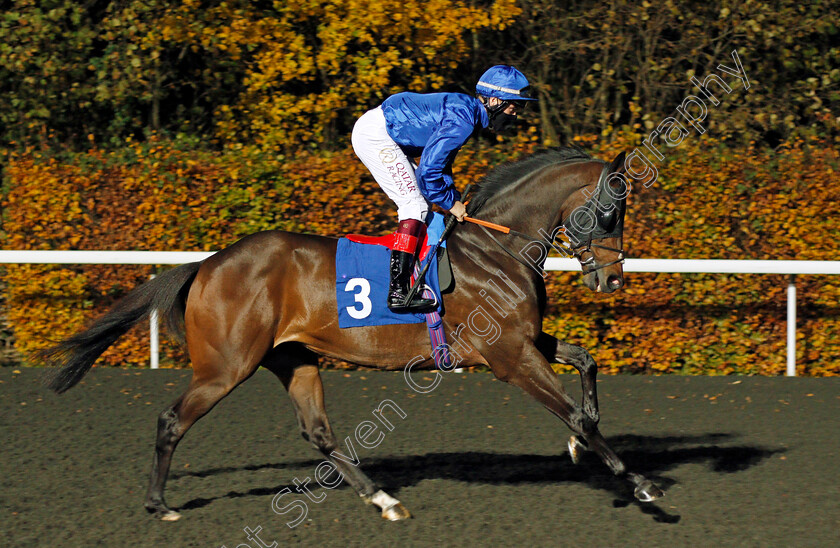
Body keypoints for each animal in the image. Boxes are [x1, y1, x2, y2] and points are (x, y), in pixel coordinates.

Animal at [42, 146, 664, 524]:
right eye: (613, 210)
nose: (613, 278)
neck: (498, 248)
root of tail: (209, 263)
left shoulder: (520, 341)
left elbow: (587, 362)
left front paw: (580, 447)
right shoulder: (508, 356)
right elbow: (577, 412)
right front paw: (639, 484)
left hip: (293, 358)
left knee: (317, 431)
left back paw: (383, 498)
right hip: (226, 365)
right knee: (172, 419)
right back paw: (159, 503)